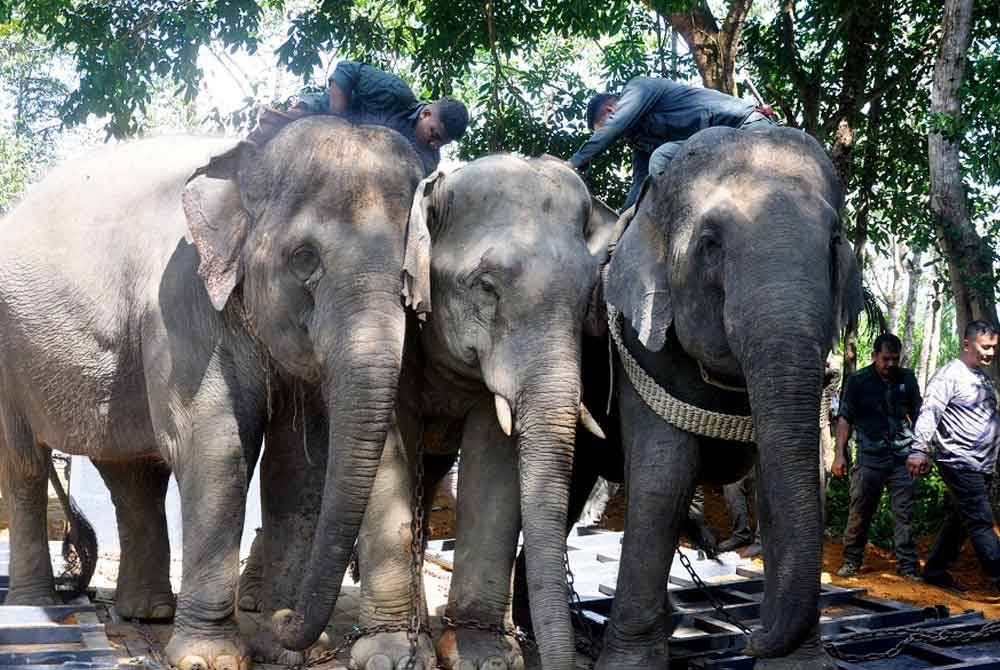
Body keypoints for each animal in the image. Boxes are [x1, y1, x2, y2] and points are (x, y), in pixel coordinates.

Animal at [0, 117, 428, 670]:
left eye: (410, 271)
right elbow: (214, 447)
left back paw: (148, 612)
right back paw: (34, 604)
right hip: (10, 355)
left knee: (131, 471)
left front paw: (279, 649)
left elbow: (298, 467)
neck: (249, 160)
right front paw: (212, 658)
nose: (288, 622)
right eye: (304, 259)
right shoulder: (178, 300)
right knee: (25, 463)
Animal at [592, 127, 868, 670]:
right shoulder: (643, 345)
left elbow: (791, 479)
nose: (749, 636)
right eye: (710, 244)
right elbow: (664, 476)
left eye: (835, 241)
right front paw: (632, 663)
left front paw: (798, 664)